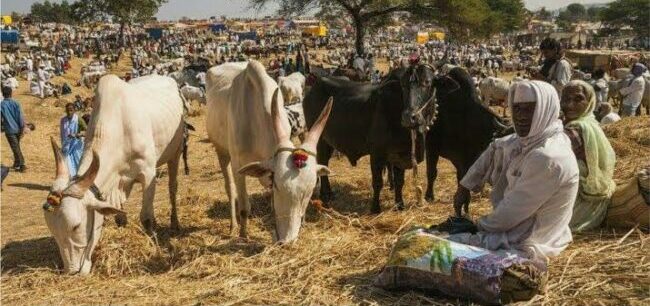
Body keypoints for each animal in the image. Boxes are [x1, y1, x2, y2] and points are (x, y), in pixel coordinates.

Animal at [42, 74, 185, 274]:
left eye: (76, 226)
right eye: (53, 231)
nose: (72, 271)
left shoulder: (148, 174)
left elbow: (147, 218)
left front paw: (153, 245)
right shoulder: (115, 185)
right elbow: (119, 217)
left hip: (176, 152)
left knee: (173, 188)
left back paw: (175, 223)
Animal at [205, 61, 332, 243]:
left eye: (309, 191)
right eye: (278, 186)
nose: (288, 241)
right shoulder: (238, 166)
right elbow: (244, 207)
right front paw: (243, 236)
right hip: (221, 150)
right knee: (230, 189)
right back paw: (233, 225)